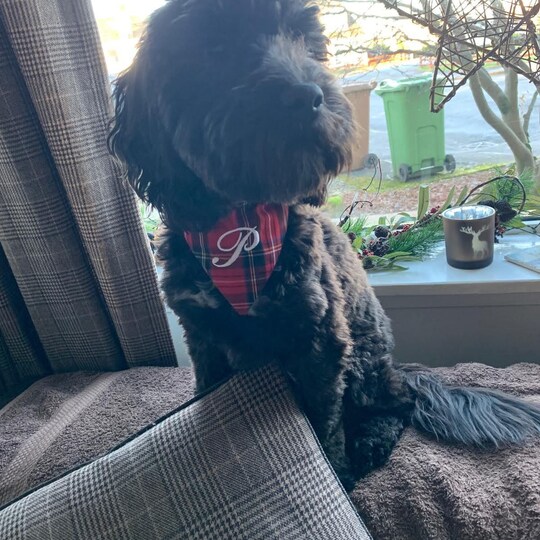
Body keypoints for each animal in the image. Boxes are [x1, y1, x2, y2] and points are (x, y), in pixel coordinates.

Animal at [108, 0, 540, 490]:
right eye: (214, 47)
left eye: (303, 38)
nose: (306, 96)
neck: (240, 231)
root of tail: (398, 368)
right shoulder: (204, 336)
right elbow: (207, 388)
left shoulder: (320, 342)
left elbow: (322, 425)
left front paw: (336, 474)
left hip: (365, 360)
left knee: (396, 405)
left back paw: (369, 442)